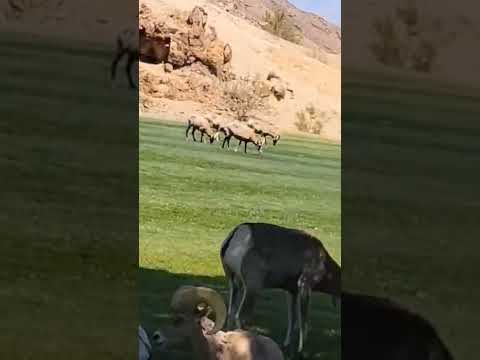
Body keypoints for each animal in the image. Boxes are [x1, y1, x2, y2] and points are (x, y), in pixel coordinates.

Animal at [219, 222, 340, 358]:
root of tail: (237, 234)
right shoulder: (304, 285)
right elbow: (303, 323)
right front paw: (300, 351)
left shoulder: (292, 292)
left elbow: (292, 320)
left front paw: (287, 346)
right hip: (252, 288)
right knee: (240, 316)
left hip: (234, 283)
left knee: (230, 312)